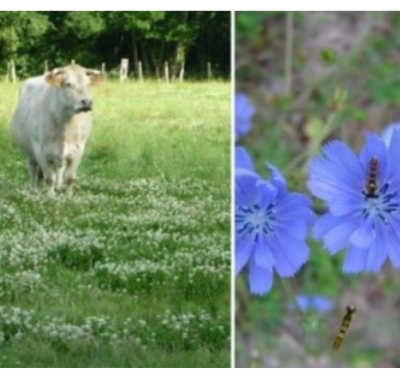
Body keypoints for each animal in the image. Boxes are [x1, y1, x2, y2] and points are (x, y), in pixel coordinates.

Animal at [10, 63, 102, 196]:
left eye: (88, 83)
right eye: (68, 84)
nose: (87, 102)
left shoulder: (78, 149)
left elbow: (69, 177)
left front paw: (68, 197)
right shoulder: (39, 150)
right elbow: (49, 178)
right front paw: (51, 197)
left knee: (59, 168)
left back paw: (58, 187)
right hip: (29, 152)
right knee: (33, 169)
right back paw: (33, 190)